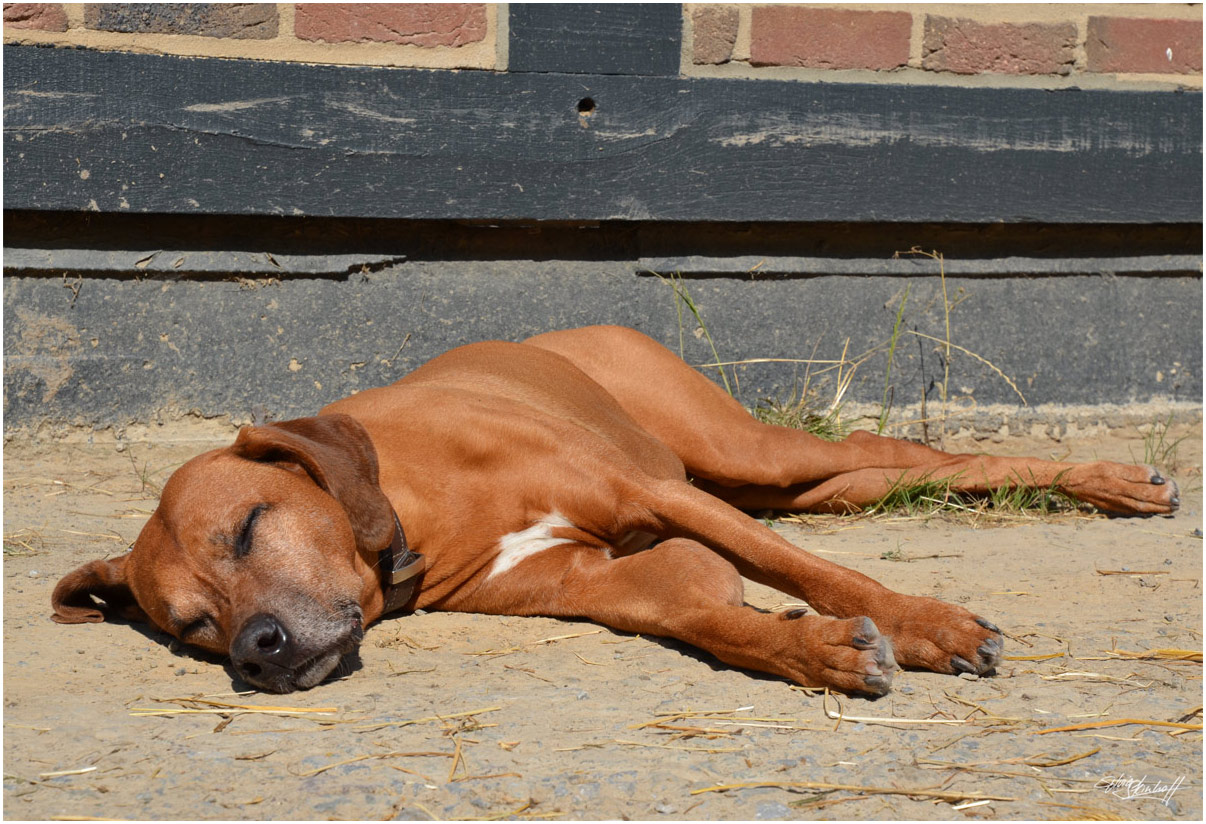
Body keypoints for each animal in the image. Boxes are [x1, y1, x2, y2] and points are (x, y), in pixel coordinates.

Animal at [49, 325, 1177, 694]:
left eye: (246, 526)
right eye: (194, 626)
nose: (260, 650)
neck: (417, 500)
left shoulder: (654, 494)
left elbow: (813, 572)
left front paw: (929, 623)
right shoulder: (609, 576)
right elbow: (714, 614)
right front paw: (815, 650)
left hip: (738, 454)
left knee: (912, 454)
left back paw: (1117, 482)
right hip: (786, 483)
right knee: (888, 472)